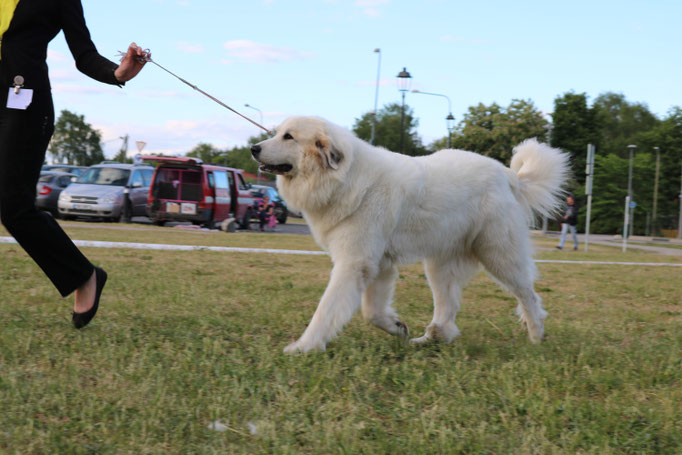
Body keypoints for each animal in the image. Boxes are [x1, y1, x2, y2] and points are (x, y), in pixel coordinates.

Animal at [251, 116, 568, 352]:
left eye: (289, 137)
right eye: (276, 133)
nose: (254, 148)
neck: (342, 178)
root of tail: (507, 175)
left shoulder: (354, 264)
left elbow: (326, 311)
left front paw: (304, 346)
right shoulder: (377, 266)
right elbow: (371, 311)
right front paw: (396, 327)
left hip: (499, 255)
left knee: (528, 295)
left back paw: (536, 335)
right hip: (440, 264)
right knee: (446, 304)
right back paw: (432, 337)